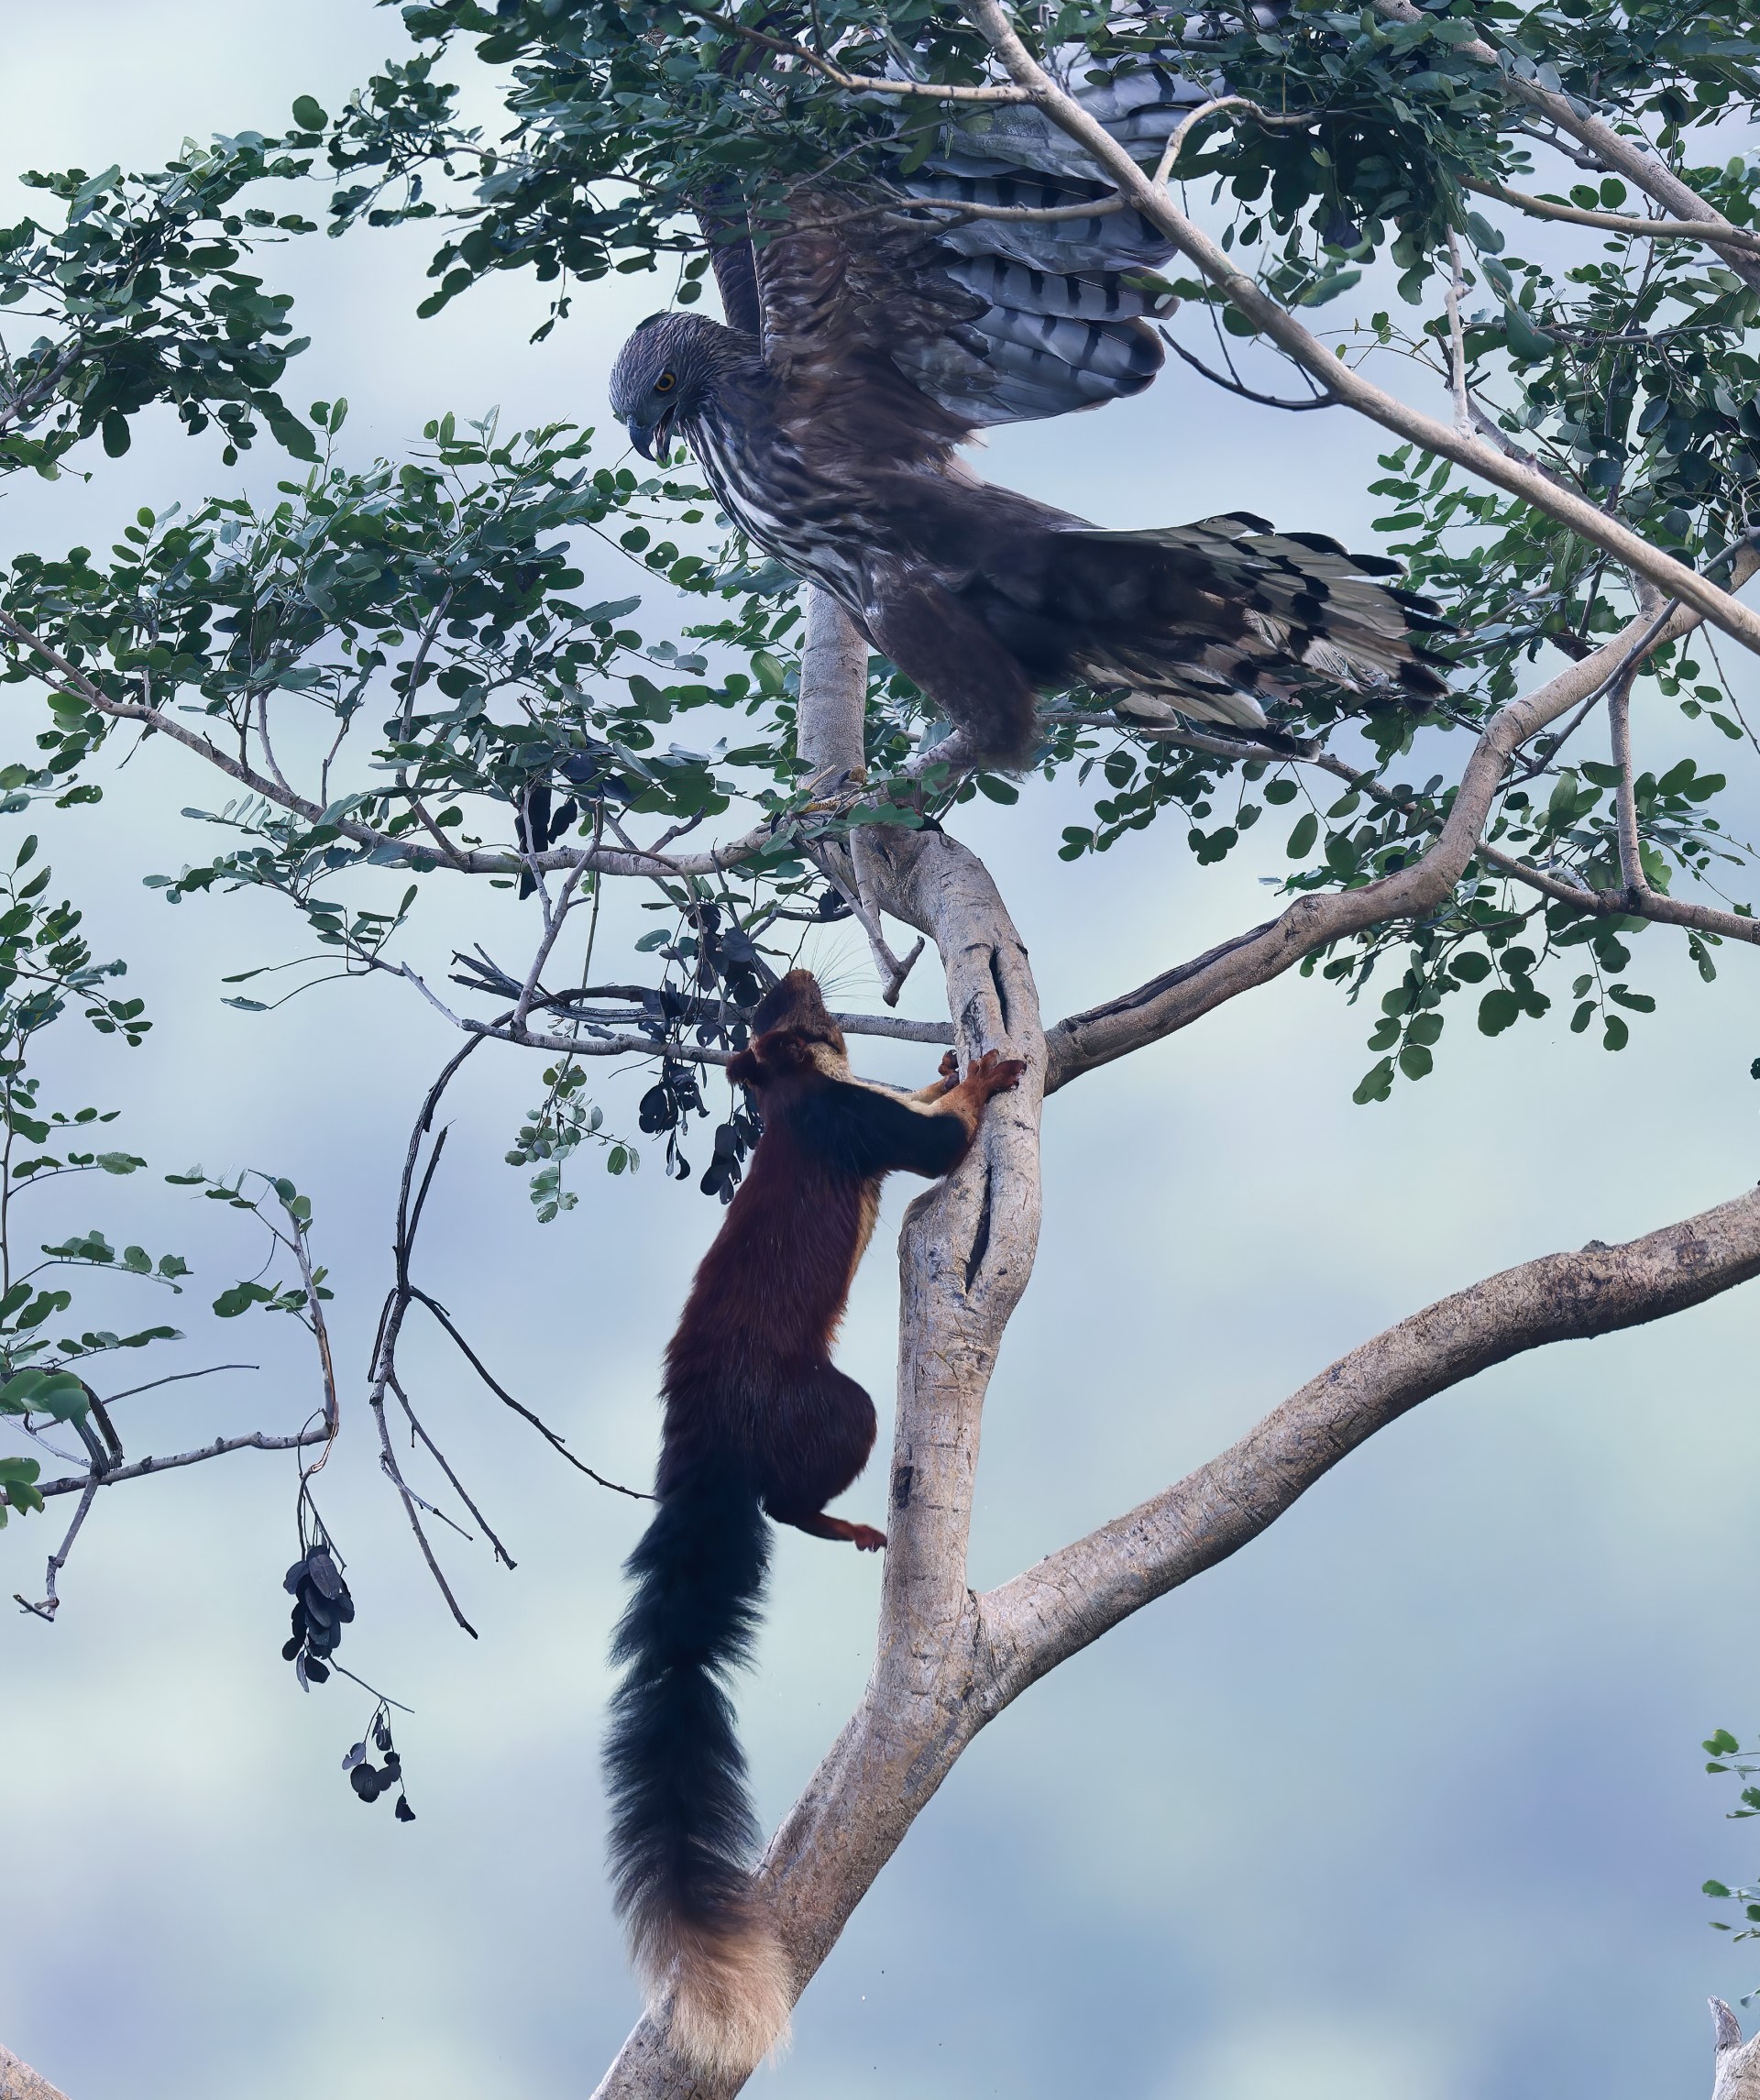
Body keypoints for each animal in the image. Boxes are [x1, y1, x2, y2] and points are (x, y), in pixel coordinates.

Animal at [603, 969, 1024, 2076]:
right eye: (779, 1013)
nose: (790, 973)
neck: (793, 1094)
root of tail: (702, 1438)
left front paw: (946, 1061)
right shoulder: (851, 1120)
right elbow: (937, 1142)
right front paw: (984, 1075)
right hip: (833, 1410)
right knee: (787, 1499)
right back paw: (849, 1529)